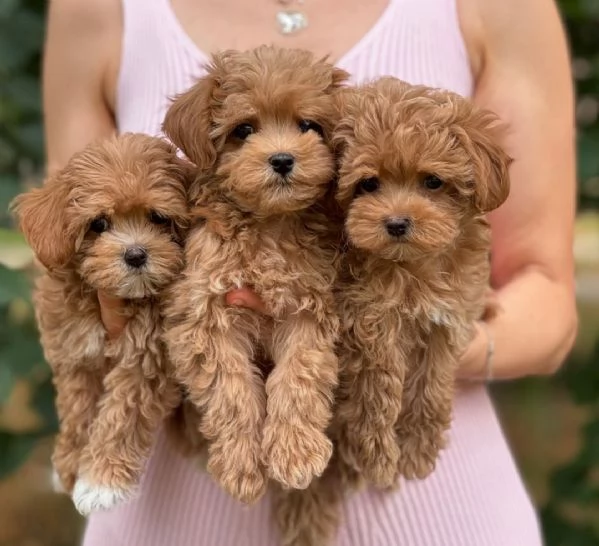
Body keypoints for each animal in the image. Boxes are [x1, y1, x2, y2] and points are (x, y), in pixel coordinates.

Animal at [11, 134, 191, 512]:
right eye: (98, 224)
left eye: (158, 217)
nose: (136, 254)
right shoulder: (73, 352)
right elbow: (77, 408)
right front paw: (70, 463)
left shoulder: (147, 360)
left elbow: (122, 414)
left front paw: (100, 481)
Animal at [161, 46, 346, 502]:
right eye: (243, 130)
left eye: (308, 125)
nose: (281, 159)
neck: (268, 225)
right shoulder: (205, 314)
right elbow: (230, 390)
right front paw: (241, 465)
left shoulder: (308, 307)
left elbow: (298, 376)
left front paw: (295, 452)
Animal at [276, 77, 510, 544]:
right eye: (368, 185)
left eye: (433, 182)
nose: (397, 223)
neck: (412, 265)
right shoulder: (366, 320)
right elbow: (380, 385)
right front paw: (379, 456)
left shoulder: (450, 318)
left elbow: (432, 382)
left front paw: (417, 449)